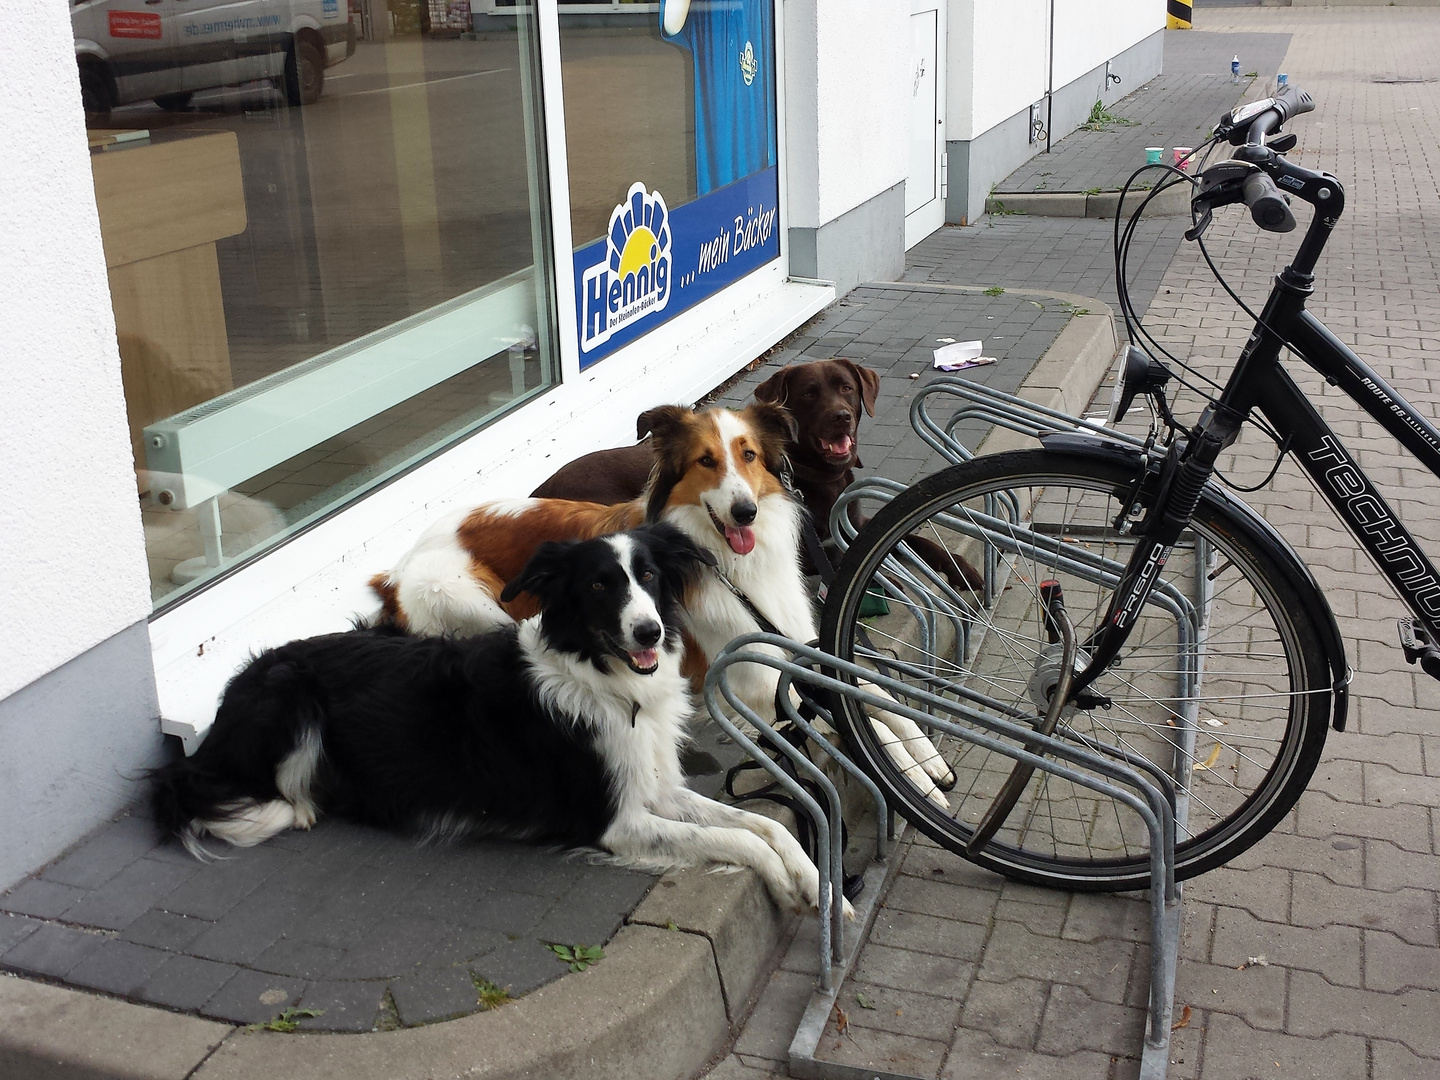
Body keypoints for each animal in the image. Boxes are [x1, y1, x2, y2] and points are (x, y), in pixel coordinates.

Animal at [371, 406, 956, 812]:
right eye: (705, 461)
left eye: (748, 455)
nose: (744, 510)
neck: (723, 560)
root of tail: (391, 572)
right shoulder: (753, 672)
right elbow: (844, 705)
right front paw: (914, 778)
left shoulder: (793, 635)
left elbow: (869, 689)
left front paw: (925, 758)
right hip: (471, 598)